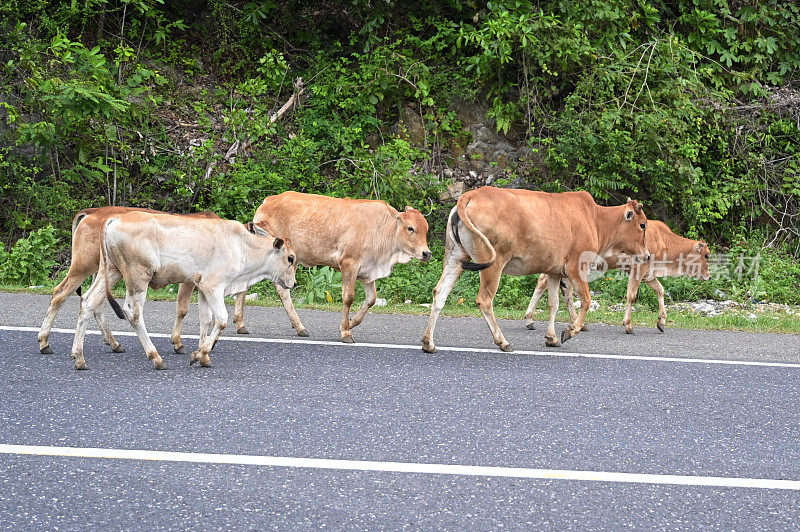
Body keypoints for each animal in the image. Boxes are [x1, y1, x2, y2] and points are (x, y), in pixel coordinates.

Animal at [36, 206, 219, 356]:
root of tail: (91, 212)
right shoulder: (190, 281)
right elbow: (183, 309)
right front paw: (178, 343)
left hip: (105, 271)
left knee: (94, 302)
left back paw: (113, 343)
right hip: (83, 266)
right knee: (60, 294)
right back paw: (44, 342)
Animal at [70, 212, 296, 370]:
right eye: (290, 258)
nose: (293, 284)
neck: (241, 246)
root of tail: (114, 218)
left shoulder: (202, 288)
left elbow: (206, 320)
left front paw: (203, 355)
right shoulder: (213, 286)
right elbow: (221, 319)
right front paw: (200, 353)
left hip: (110, 271)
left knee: (89, 302)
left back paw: (79, 358)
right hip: (138, 277)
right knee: (133, 313)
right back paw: (156, 358)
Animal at [231, 193, 432, 342]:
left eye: (426, 229)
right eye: (410, 228)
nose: (426, 253)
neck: (382, 229)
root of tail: (268, 200)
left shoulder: (367, 272)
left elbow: (371, 300)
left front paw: (351, 322)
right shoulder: (349, 265)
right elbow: (348, 298)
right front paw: (346, 332)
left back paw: (297, 327)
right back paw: (242, 323)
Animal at [418, 187, 648, 354]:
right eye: (643, 225)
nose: (646, 255)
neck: (595, 220)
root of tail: (470, 194)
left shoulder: (555, 272)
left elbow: (554, 305)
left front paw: (551, 337)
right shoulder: (576, 268)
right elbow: (586, 301)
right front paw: (569, 331)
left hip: (456, 257)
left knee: (439, 294)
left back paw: (428, 342)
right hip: (493, 263)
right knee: (484, 300)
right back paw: (503, 341)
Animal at [528, 220, 708, 332]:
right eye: (706, 255)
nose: (708, 276)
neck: (663, 240)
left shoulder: (648, 275)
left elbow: (661, 291)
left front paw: (661, 322)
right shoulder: (638, 270)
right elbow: (631, 296)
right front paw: (628, 325)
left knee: (561, 290)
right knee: (547, 283)